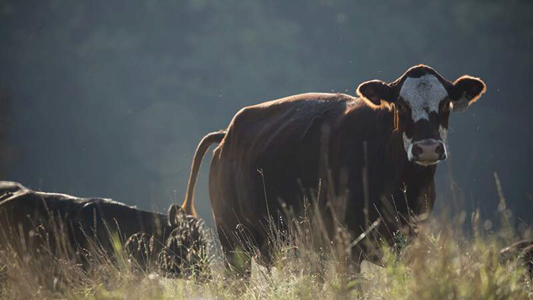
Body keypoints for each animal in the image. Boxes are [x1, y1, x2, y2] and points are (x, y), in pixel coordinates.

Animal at [181, 64, 484, 274]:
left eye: (445, 104)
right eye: (401, 104)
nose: (428, 148)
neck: (399, 186)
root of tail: (226, 134)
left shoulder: (410, 242)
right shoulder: (347, 247)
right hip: (233, 242)